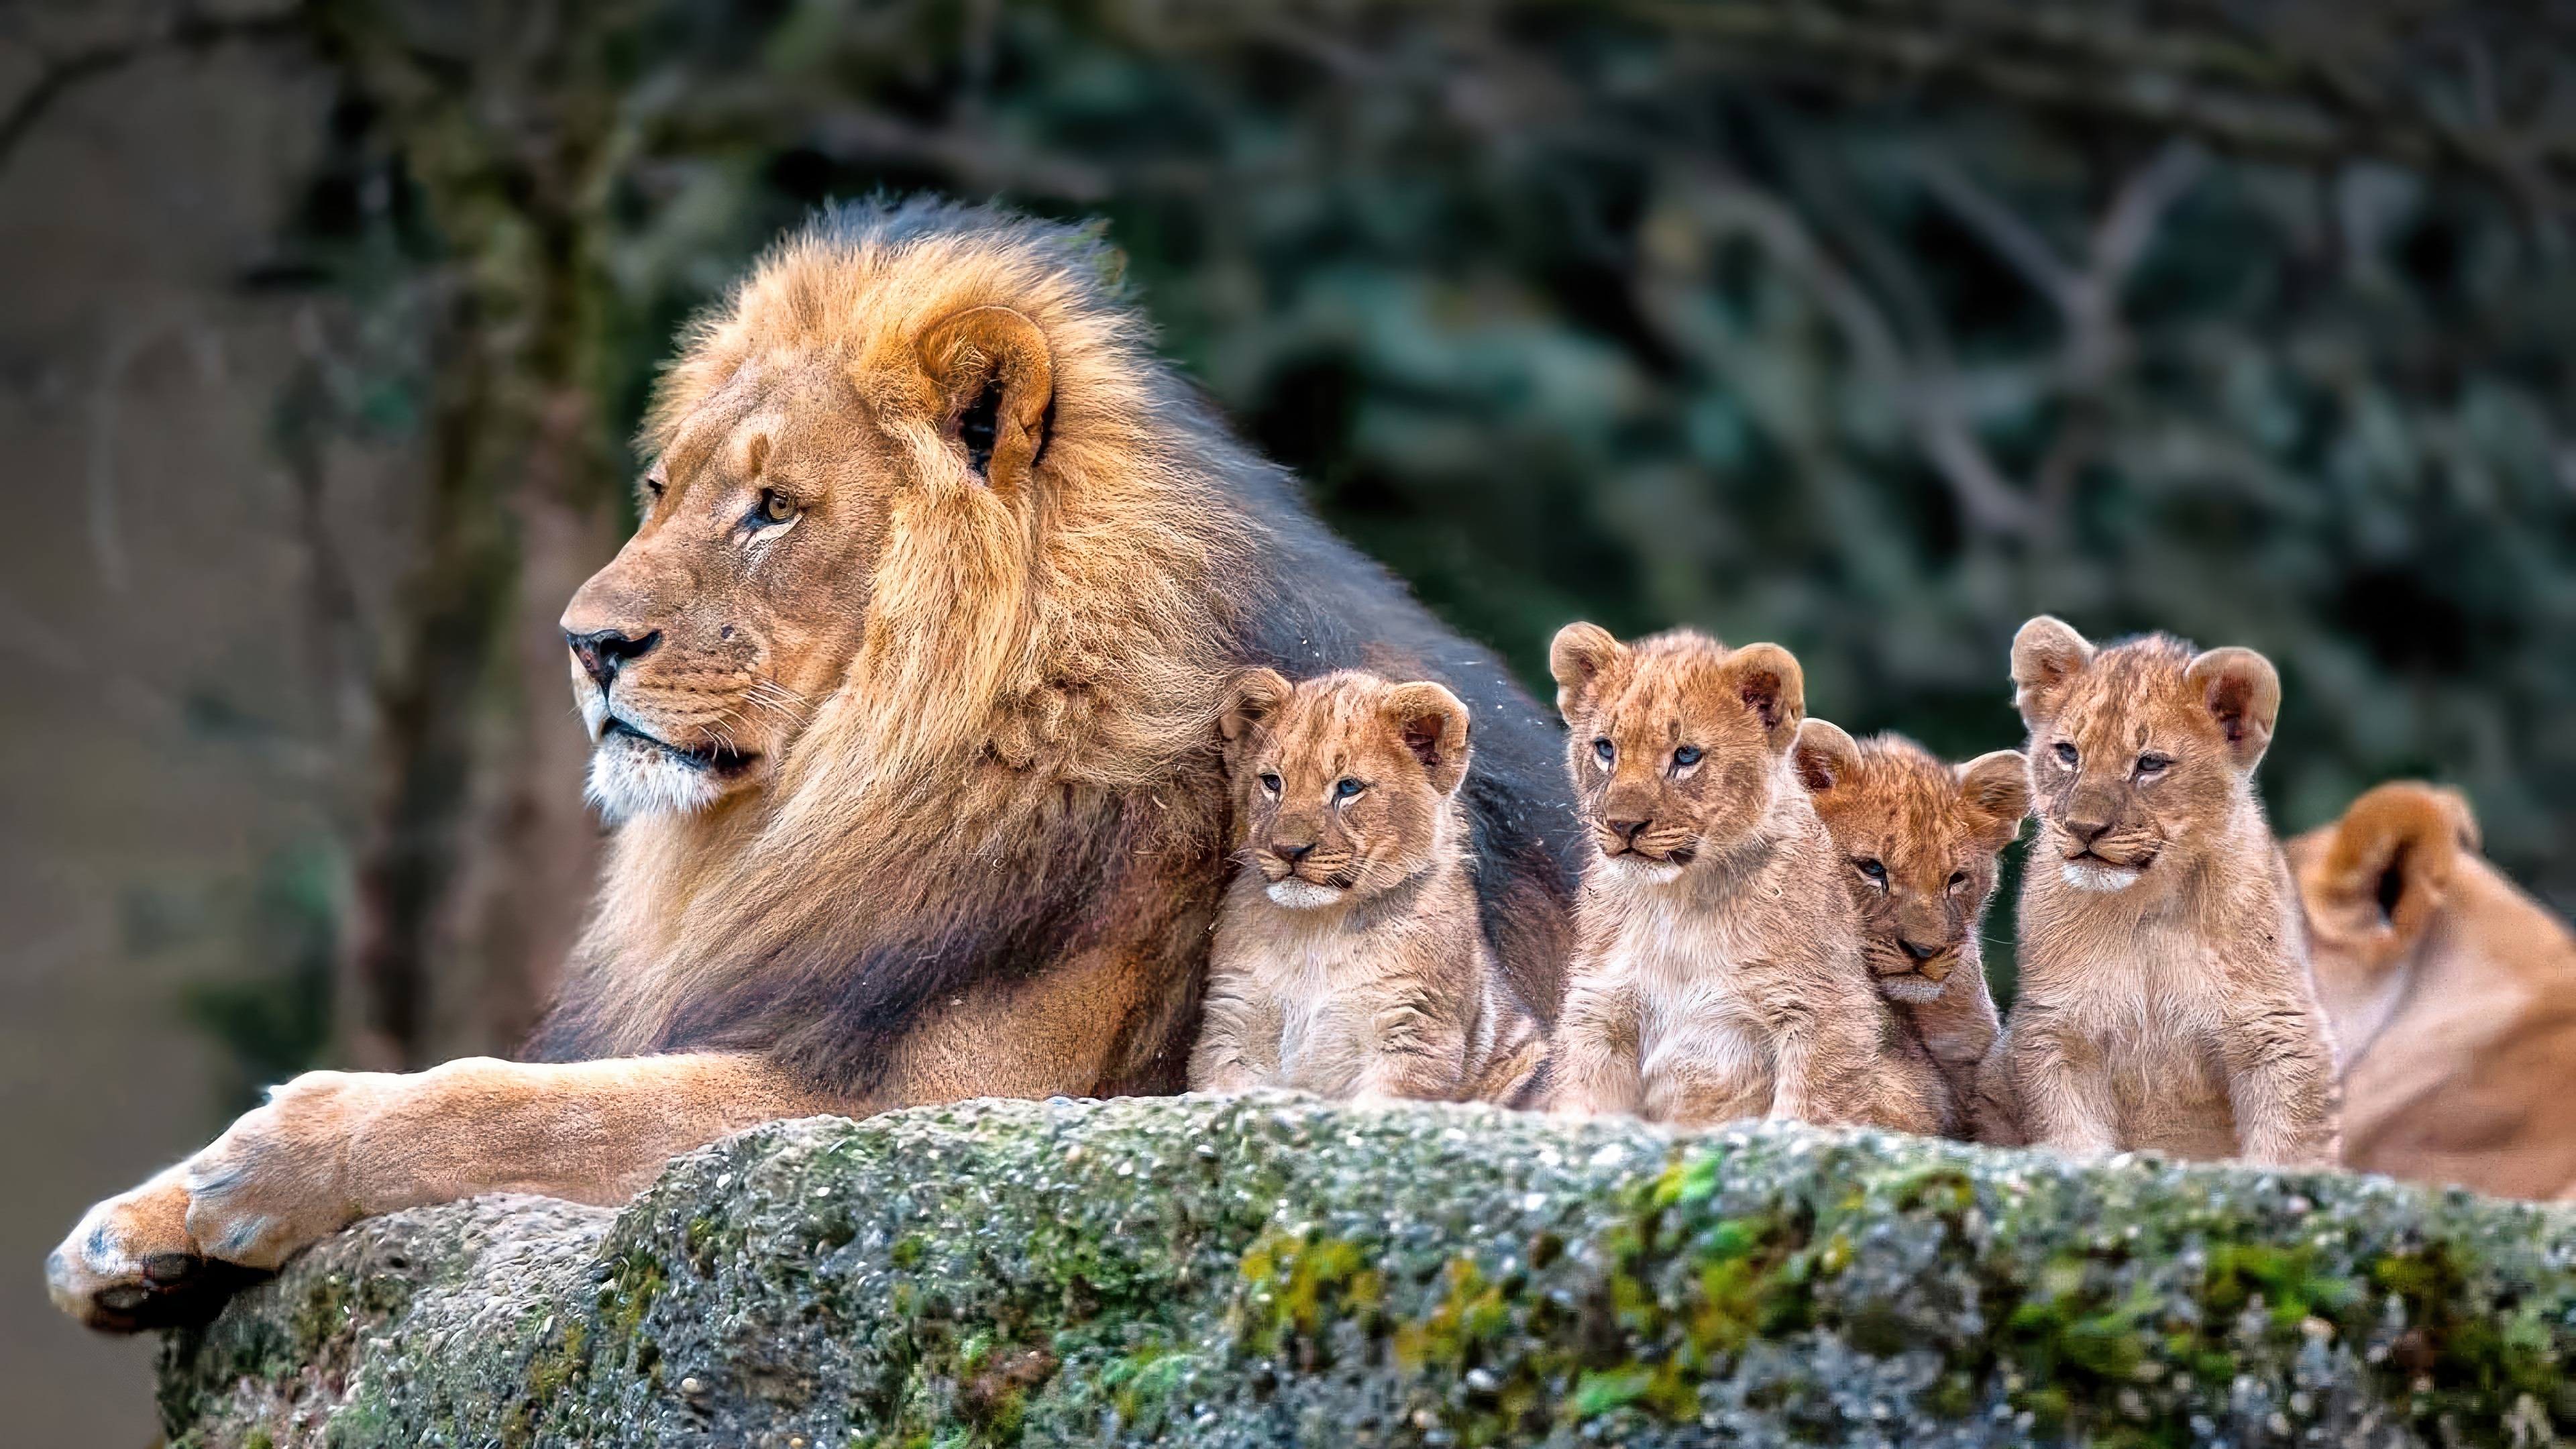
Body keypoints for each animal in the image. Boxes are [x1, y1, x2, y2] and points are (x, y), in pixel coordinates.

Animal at [1190, 669, 1547, 1105]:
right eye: (1273, 782)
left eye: (1348, 788)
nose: (1289, 850)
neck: (1317, 933)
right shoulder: (1232, 1023)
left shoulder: (1415, 1029)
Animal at [1543, 624, 1946, 1134]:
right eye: (1605, 749)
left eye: (1686, 756)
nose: (1623, 826)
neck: (1678, 904)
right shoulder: (1600, 1011)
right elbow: (1586, 1103)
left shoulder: (1827, 1012)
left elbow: (1808, 1111)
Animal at [1977, 617, 2338, 1167]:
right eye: (2068, 753)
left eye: (2149, 764)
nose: (2084, 829)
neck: (2145, 906)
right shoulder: (2057, 1028)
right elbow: (2072, 1134)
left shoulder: (2278, 1029)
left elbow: (2287, 1145)